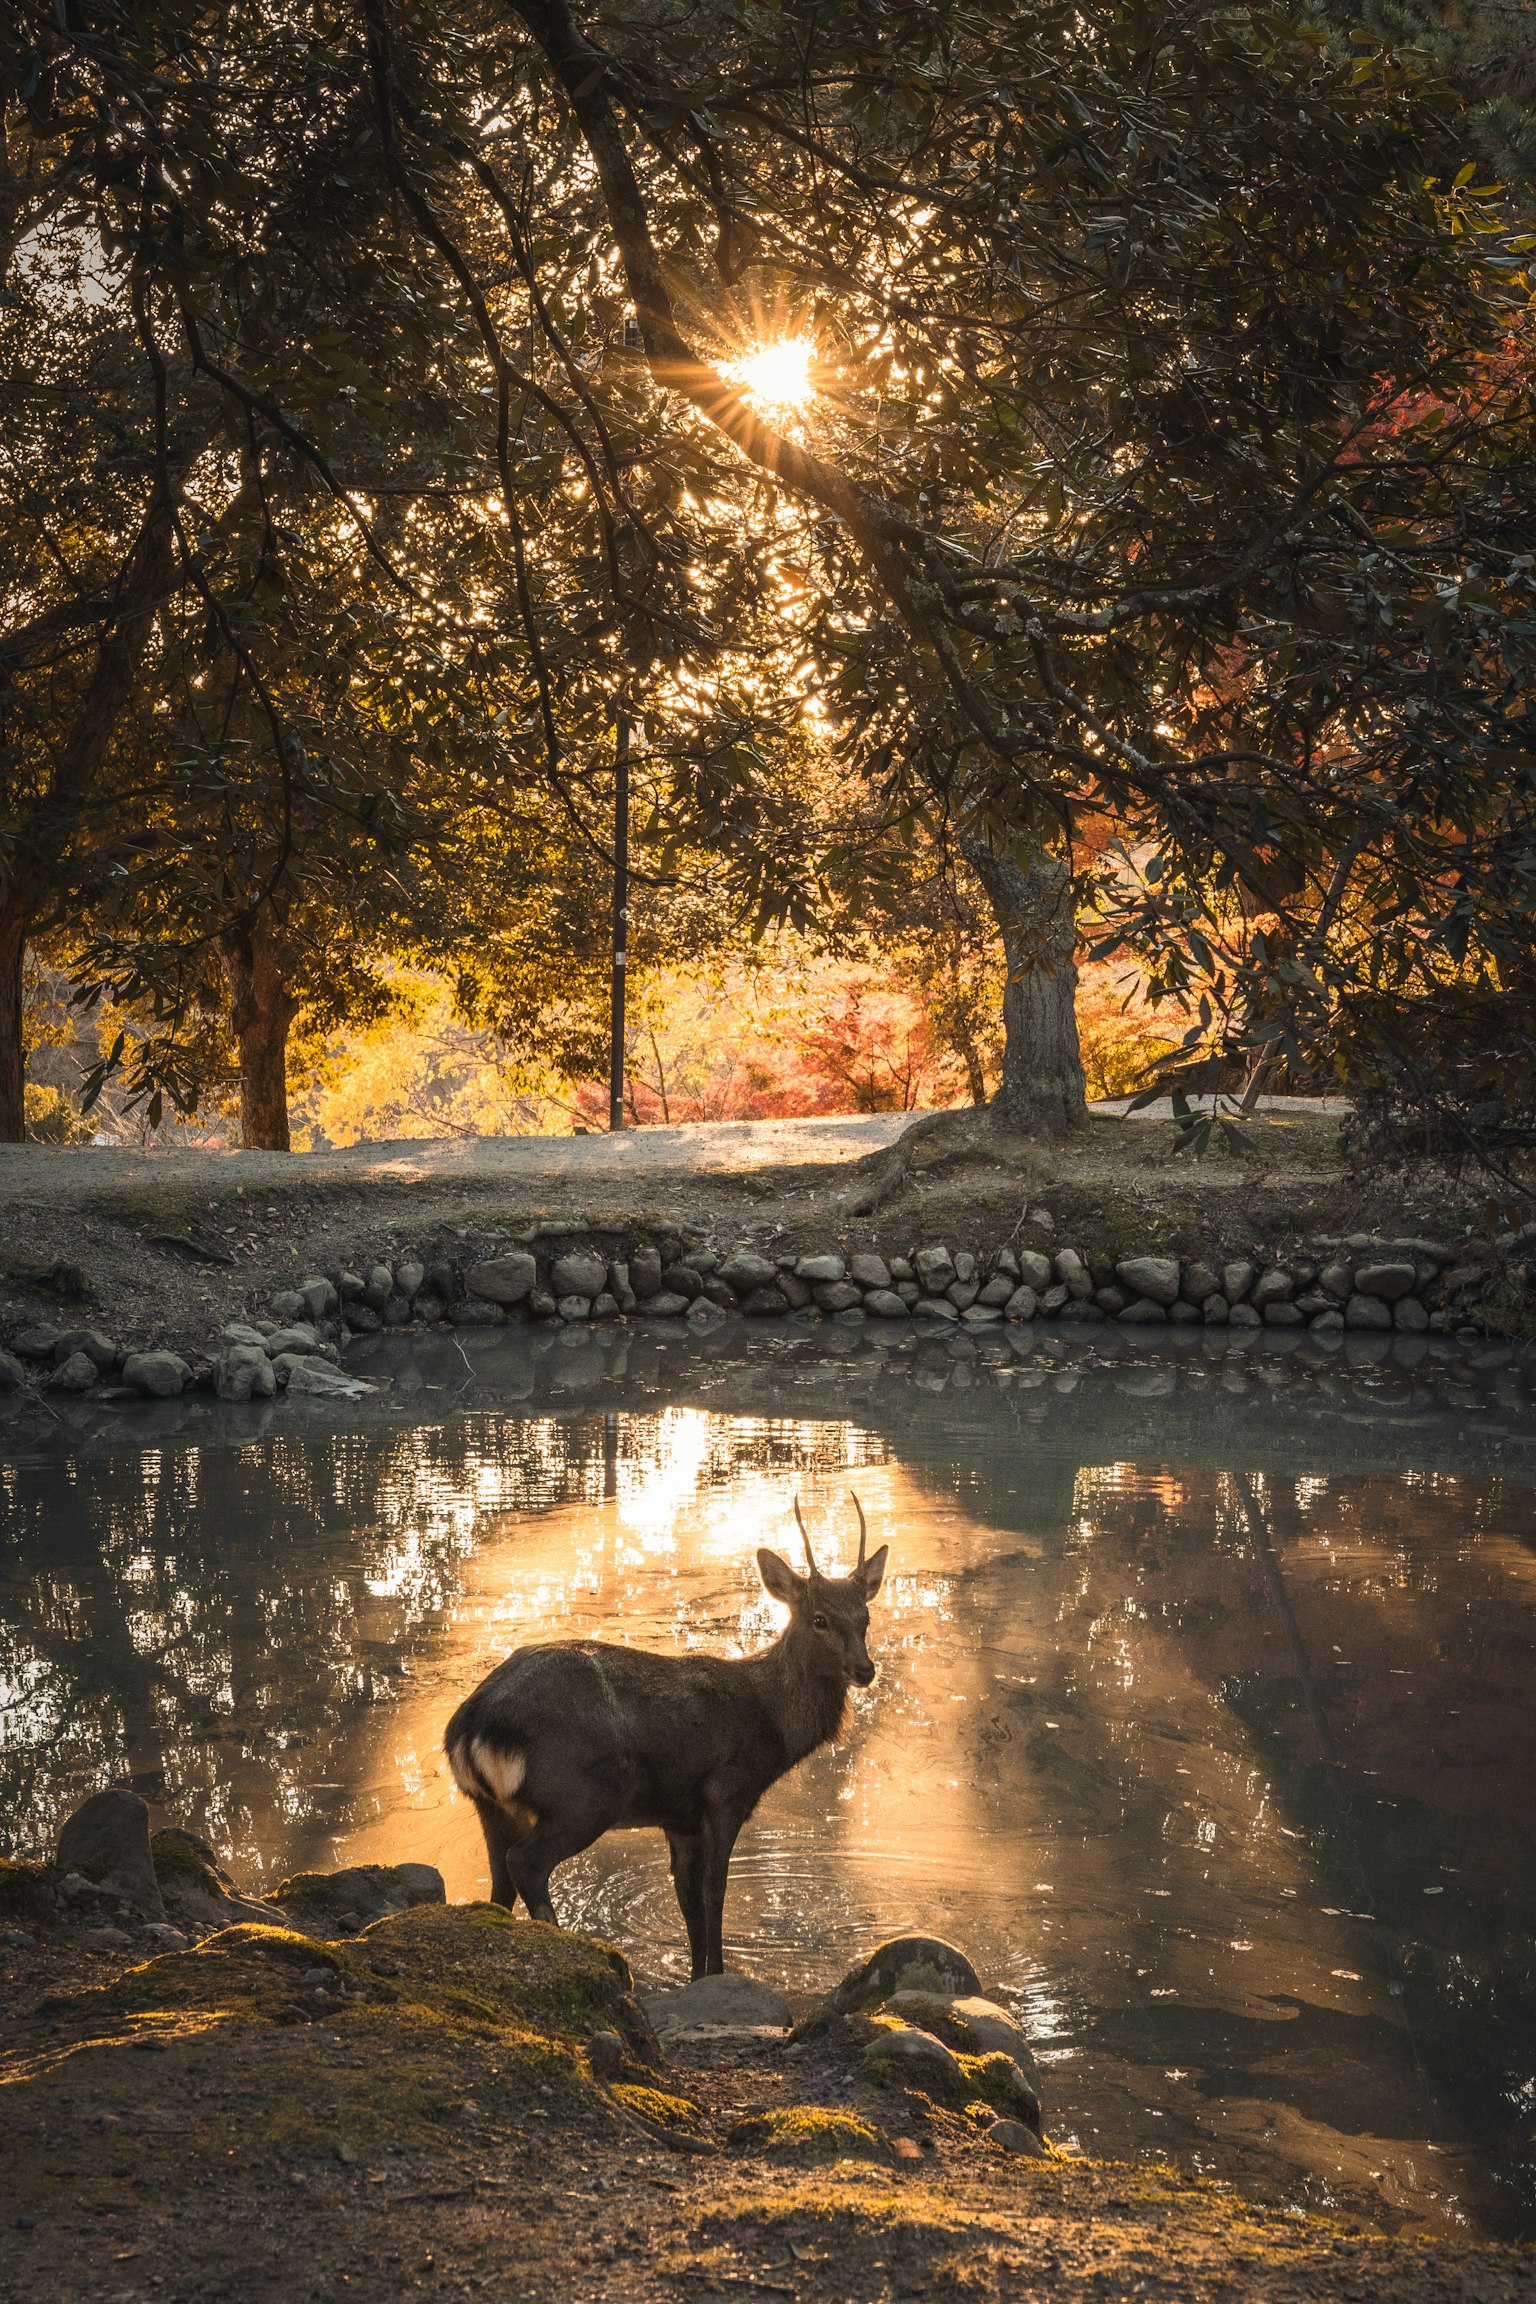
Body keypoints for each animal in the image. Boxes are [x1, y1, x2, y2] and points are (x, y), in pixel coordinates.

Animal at [444, 1495, 888, 1978]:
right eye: (819, 1619)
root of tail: (472, 1725)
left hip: (490, 1807)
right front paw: (718, 1972)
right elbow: (715, 1892)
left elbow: (688, 1900)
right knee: (525, 1862)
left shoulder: (680, 1818)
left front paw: (698, 1976)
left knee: (499, 1885)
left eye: (865, 1617)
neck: (771, 1722)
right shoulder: (725, 1792)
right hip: (584, 1794)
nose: (865, 1670)